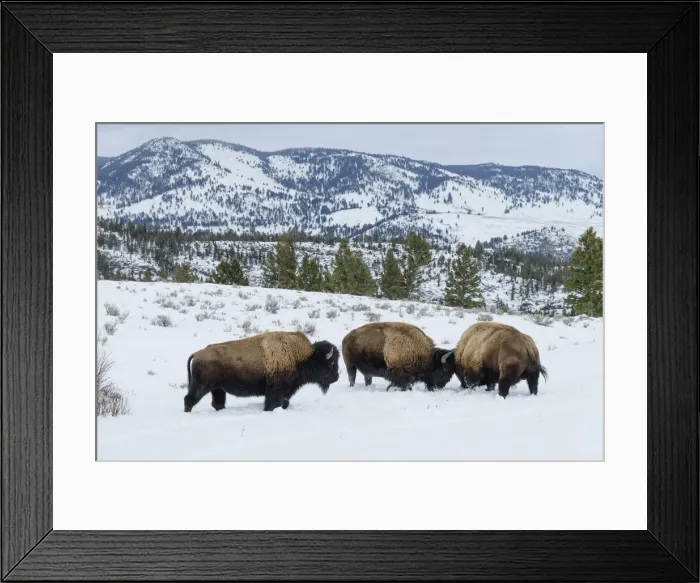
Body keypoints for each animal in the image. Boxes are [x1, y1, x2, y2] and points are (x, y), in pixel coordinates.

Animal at [184, 331, 340, 413]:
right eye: (331, 363)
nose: (336, 377)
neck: (299, 356)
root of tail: (198, 353)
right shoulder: (275, 391)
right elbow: (272, 403)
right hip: (202, 386)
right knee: (189, 399)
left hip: (217, 389)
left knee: (217, 403)